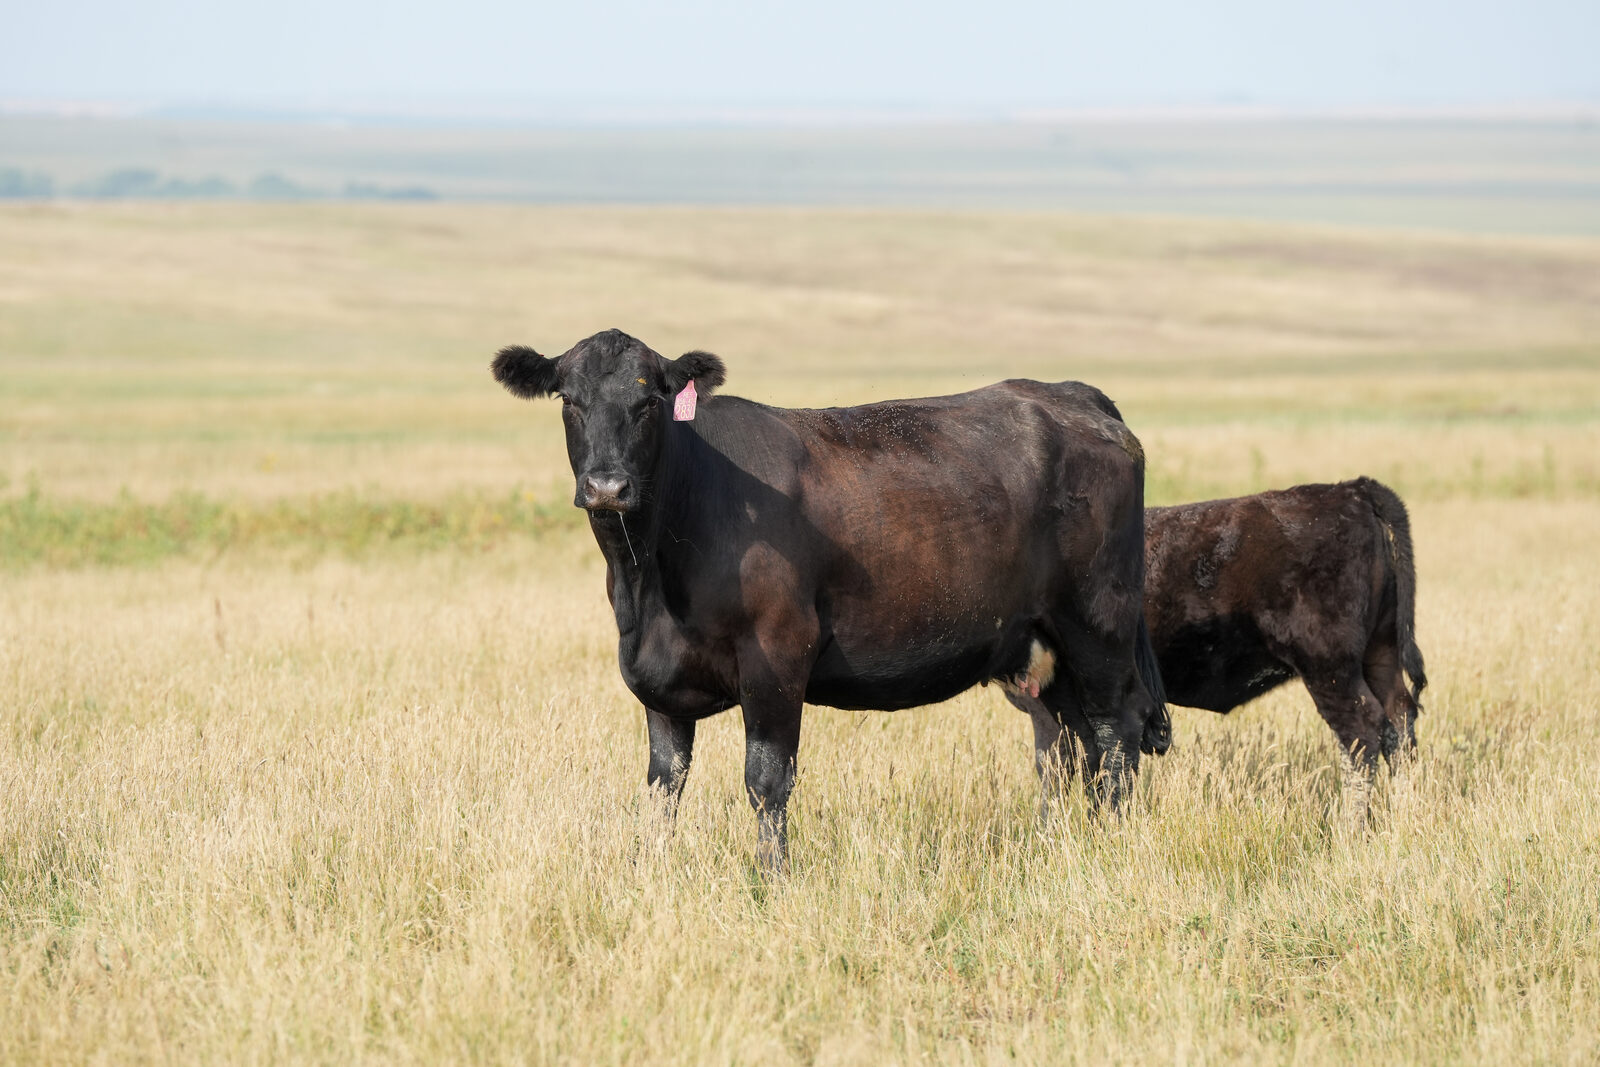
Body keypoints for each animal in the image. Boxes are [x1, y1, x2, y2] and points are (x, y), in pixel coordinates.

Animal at [491, 328, 1169, 872]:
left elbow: (766, 780)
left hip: (1098, 624)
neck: (647, 583)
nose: (607, 486)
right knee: (1075, 743)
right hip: (1046, 645)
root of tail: (1070, 394)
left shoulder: (777, 657)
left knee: (1115, 732)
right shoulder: (661, 681)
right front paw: (649, 869)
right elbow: (665, 785)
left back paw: (1113, 843)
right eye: (569, 400)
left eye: (649, 401)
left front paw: (770, 878)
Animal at [1138, 478, 1426, 823]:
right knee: (1399, 721)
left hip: (1329, 669)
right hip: (1380, 654)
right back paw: (1405, 814)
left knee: (1362, 730)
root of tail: (1352, 491)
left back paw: (1349, 827)